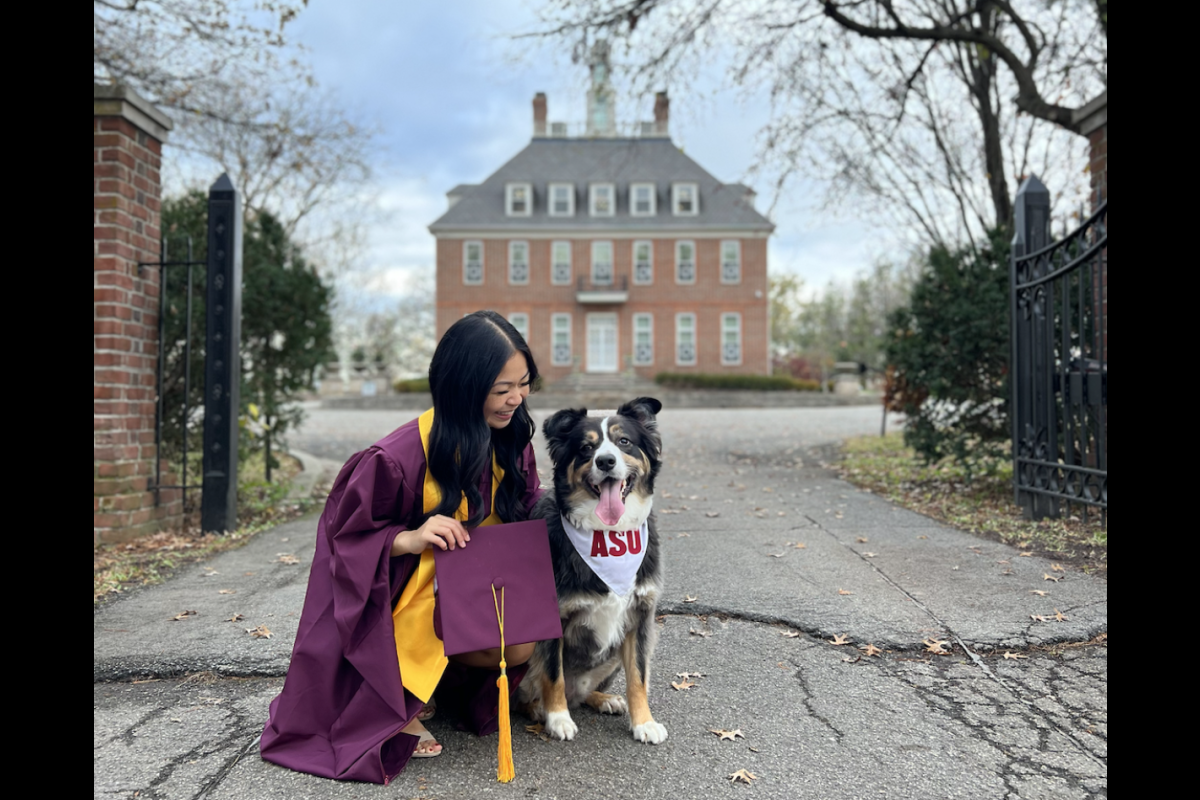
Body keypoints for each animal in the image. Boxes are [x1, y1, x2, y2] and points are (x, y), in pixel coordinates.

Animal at [516, 395, 667, 743]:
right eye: (586, 447)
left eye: (624, 441)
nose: (606, 462)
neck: (607, 532)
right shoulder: (552, 620)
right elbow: (553, 674)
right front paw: (558, 718)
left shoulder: (641, 619)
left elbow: (639, 676)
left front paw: (644, 722)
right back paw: (539, 709)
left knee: (586, 693)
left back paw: (604, 699)